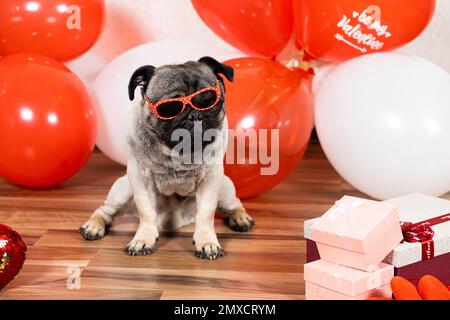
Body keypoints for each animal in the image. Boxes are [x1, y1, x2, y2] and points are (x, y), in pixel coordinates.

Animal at [78, 56, 253, 258]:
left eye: (208, 100)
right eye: (169, 108)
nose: (194, 115)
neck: (178, 152)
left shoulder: (211, 179)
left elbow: (206, 214)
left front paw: (207, 242)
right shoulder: (140, 179)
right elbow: (146, 212)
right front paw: (143, 239)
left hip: (224, 187)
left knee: (234, 204)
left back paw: (240, 218)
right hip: (123, 190)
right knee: (105, 210)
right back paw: (93, 226)